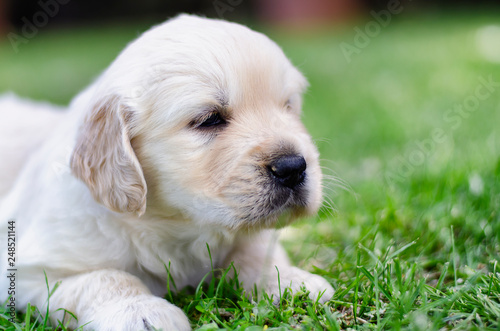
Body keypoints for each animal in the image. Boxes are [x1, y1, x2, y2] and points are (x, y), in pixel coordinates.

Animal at [2, 14, 336, 330]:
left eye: (288, 106)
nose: (293, 167)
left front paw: (291, 281)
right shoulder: (32, 268)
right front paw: (141, 311)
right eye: (209, 119)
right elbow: (105, 278)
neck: (176, 225)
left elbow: (257, 252)